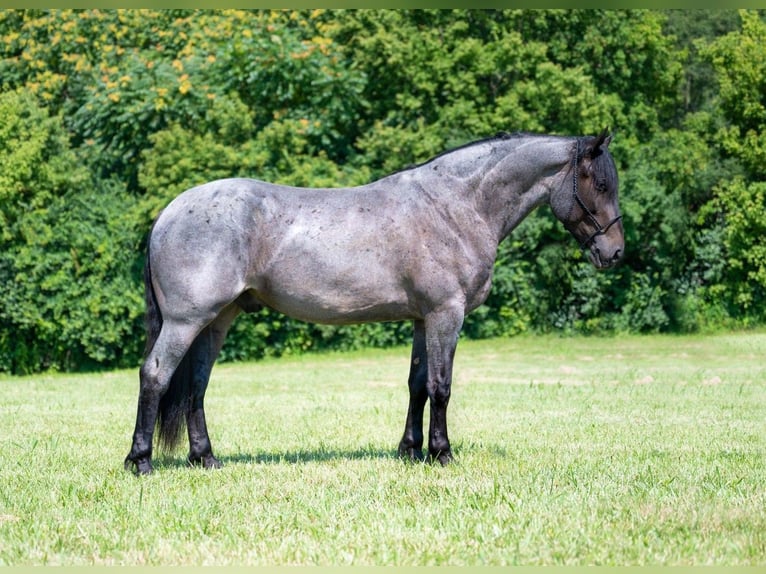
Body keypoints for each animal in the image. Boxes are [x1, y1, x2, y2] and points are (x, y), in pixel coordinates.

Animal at [124, 130, 624, 476]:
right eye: (598, 184)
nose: (615, 252)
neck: (456, 206)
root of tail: (169, 212)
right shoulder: (446, 314)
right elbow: (441, 386)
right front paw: (441, 454)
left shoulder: (423, 319)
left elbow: (417, 385)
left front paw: (410, 451)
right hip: (186, 321)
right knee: (155, 375)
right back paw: (140, 461)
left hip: (216, 321)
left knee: (196, 387)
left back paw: (205, 459)